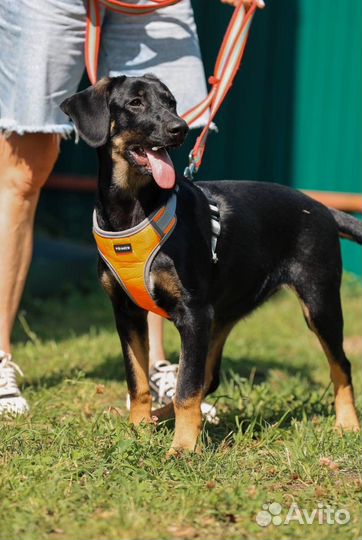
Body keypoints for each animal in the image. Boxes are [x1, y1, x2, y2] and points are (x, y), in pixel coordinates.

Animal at [60, 75, 360, 456]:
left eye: (171, 102)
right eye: (135, 103)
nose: (179, 128)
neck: (133, 208)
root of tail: (323, 209)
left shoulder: (192, 312)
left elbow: (186, 388)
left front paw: (184, 449)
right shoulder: (126, 312)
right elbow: (138, 380)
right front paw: (139, 431)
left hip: (317, 302)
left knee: (341, 365)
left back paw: (347, 423)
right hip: (220, 317)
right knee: (208, 377)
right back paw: (160, 417)